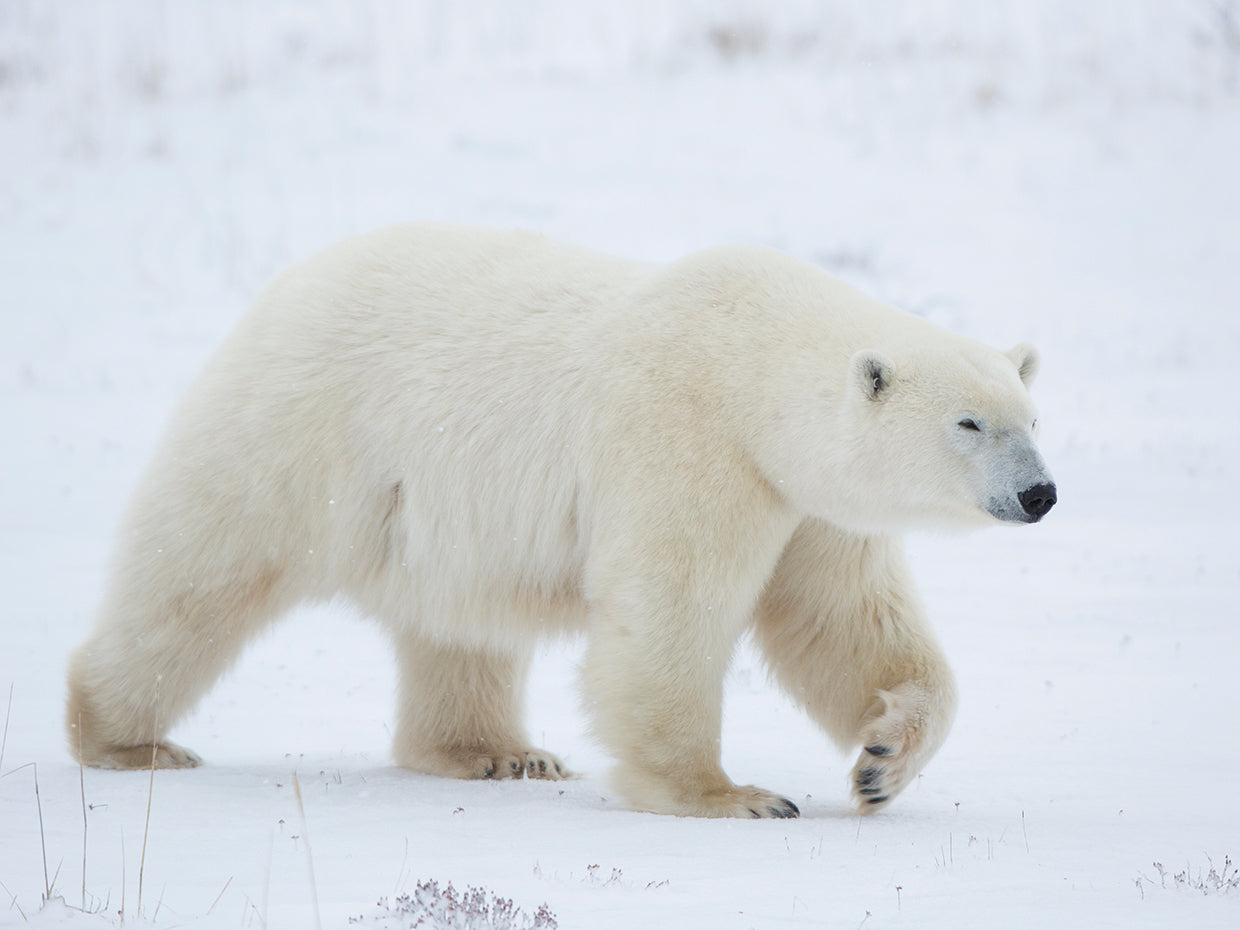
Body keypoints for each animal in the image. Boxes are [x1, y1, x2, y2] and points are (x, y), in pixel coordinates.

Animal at [66, 224, 1056, 818]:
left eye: (1031, 418)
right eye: (969, 424)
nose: (1039, 495)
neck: (749, 364)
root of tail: (287, 286)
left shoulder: (805, 500)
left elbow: (841, 622)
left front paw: (883, 759)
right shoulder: (689, 439)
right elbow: (671, 610)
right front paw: (729, 794)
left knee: (457, 626)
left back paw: (496, 755)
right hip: (299, 434)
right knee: (199, 571)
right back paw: (123, 738)